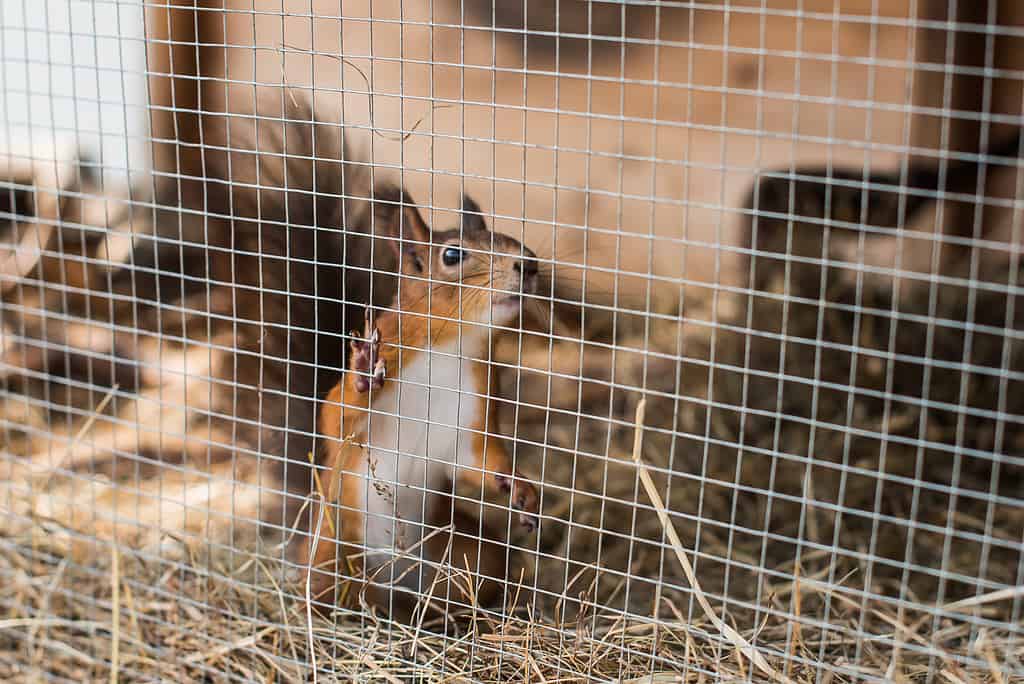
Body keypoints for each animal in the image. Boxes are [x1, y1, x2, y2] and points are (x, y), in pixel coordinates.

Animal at [301, 184, 544, 622]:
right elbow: (334, 418)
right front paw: (364, 373)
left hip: (468, 554)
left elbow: (481, 458)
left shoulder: (475, 408)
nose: (530, 265)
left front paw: (519, 486)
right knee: (323, 585)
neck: (447, 346)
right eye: (451, 255)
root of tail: (393, 587)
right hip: (331, 548)